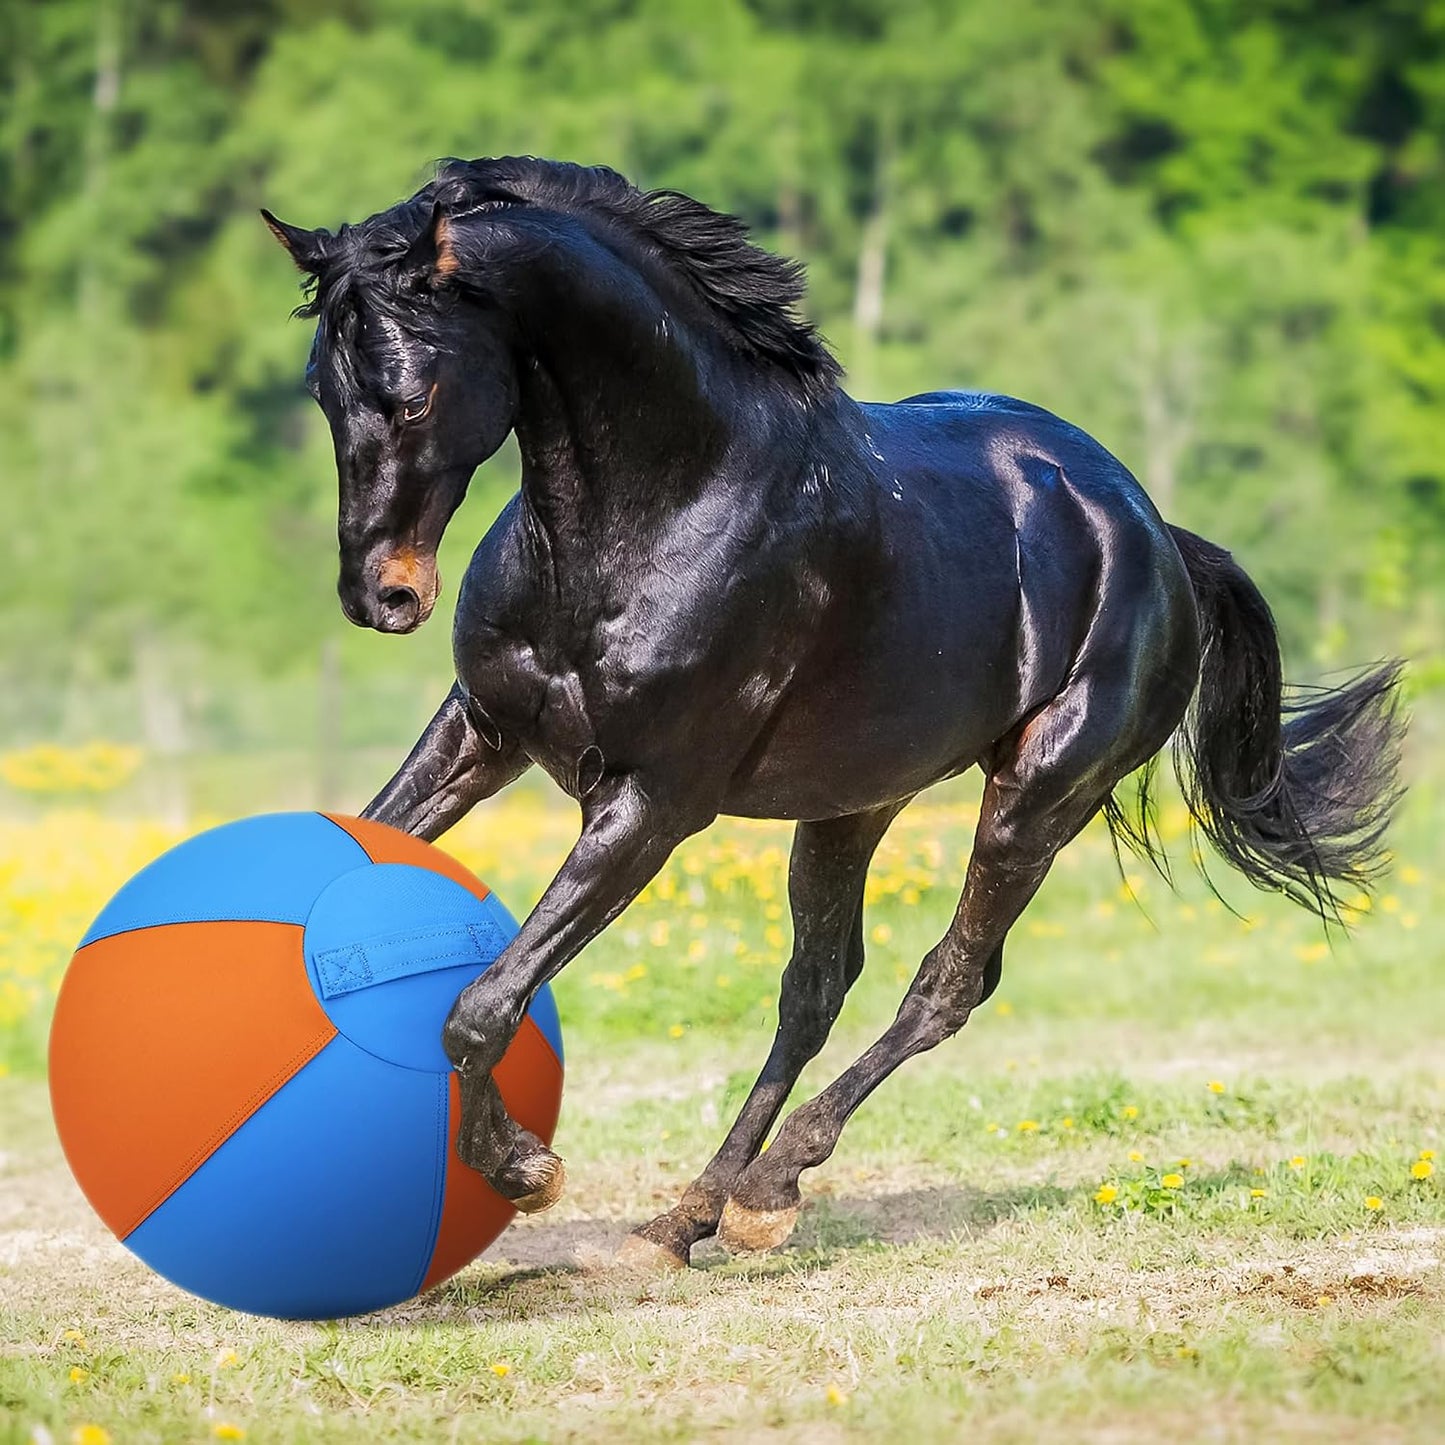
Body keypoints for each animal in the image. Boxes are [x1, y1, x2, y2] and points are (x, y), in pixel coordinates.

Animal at [264, 156, 1404, 1269]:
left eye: (412, 397)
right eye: (322, 389)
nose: (382, 595)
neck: (656, 504)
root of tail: (1156, 533)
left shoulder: (649, 805)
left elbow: (481, 1004)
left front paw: (523, 1169)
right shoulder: (482, 732)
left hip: (1040, 793)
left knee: (946, 982)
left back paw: (767, 1192)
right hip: (853, 803)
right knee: (815, 986)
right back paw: (686, 1217)